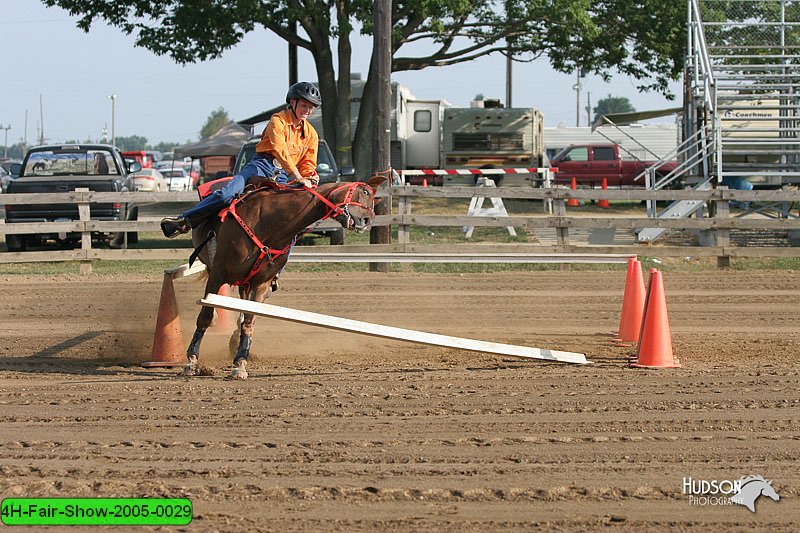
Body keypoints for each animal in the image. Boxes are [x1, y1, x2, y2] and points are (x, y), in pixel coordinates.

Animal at [188, 177, 388, 376]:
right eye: (365, 192)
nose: (367, 221)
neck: (269, 222)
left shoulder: (261, 284)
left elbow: (249, 322)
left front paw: (240, 363)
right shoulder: (218, 273)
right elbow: (205, 317)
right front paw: (191, 361)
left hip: (246, 283)